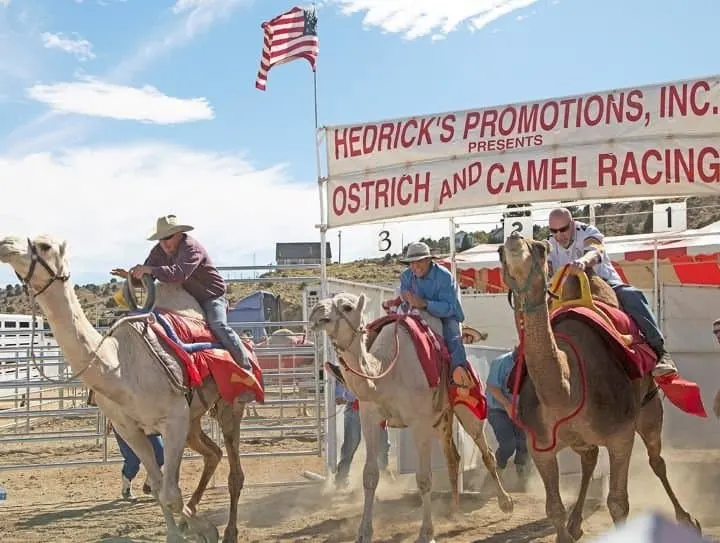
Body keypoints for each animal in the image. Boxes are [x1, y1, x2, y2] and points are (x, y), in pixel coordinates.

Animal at [0, 235, 253, 543]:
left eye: (45, 246)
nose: (5, 243)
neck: (118, 367)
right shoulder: (130, 429)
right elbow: (159, 487)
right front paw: (181, 531)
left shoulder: (173, 420)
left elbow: (171, 493)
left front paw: (204, 529)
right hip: (193, 419)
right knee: (213, 454)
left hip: (230, 405)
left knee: (234, 470)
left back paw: (229, 531)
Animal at [310, 294, 512, 543]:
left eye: (347, 306)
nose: (316, 312)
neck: (385, 372)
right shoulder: (369, 417)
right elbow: (370, 476)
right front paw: (364, 532)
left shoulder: (420, 422)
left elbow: (424, 478)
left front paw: (426, 533)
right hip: (442, 418)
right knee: (453, 457)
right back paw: (453, 510)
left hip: (467, 409)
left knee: (486, 452)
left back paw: (505, 503)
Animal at [498, 233, 700, 543]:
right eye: (499, 252)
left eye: (541, 248)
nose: (514, 237)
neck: (565, 391)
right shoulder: (540, 446)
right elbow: (554, 508)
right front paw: (565, 529)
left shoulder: (620, 436)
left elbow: (618, 503)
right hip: (583, 439)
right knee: (590, 460)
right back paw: (575, 523)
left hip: (650, 408)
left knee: (657, 460)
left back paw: (688, 520)